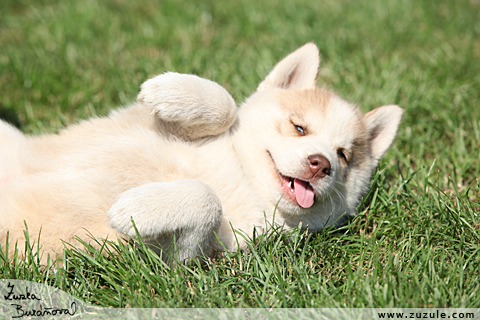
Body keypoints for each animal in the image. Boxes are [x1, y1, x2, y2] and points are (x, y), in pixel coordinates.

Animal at [0, 43, 404, 262]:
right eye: (299, 127)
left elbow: (205, 200)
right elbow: (227, 104)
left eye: (343, 156)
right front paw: (172, 91)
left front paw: (137, 207)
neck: (240, 177)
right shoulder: (139, 120)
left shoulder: (179, 258)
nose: (321, 165)